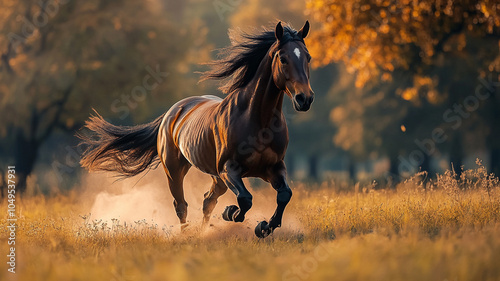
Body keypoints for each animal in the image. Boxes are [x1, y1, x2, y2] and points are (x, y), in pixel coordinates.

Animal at [78, 20, 314, 237]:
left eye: (308, 57)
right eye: (283, 58)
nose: (305, 99)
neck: (257, 120)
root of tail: (172, 112)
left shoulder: (273, 167)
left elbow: (284, 195)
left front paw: (264, 226)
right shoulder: (229, 169)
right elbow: (245, 199)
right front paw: (231, 212)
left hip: (215, 178)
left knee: (207, 201)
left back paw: (202, 232)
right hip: (175, 170)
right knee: (181, 204)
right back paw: (187, 233)